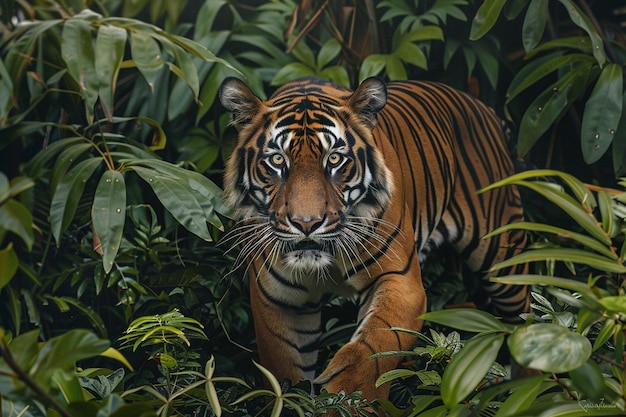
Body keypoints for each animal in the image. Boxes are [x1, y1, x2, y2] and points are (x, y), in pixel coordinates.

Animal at [217, 77, 528, 400]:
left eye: (334, 159)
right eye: (277, 160)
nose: (307, 223)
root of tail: (484, 107)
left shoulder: (400, 281)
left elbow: (373, 350)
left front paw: (345, 397)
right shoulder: (279, 303)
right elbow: (284, 373)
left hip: (504, 256)